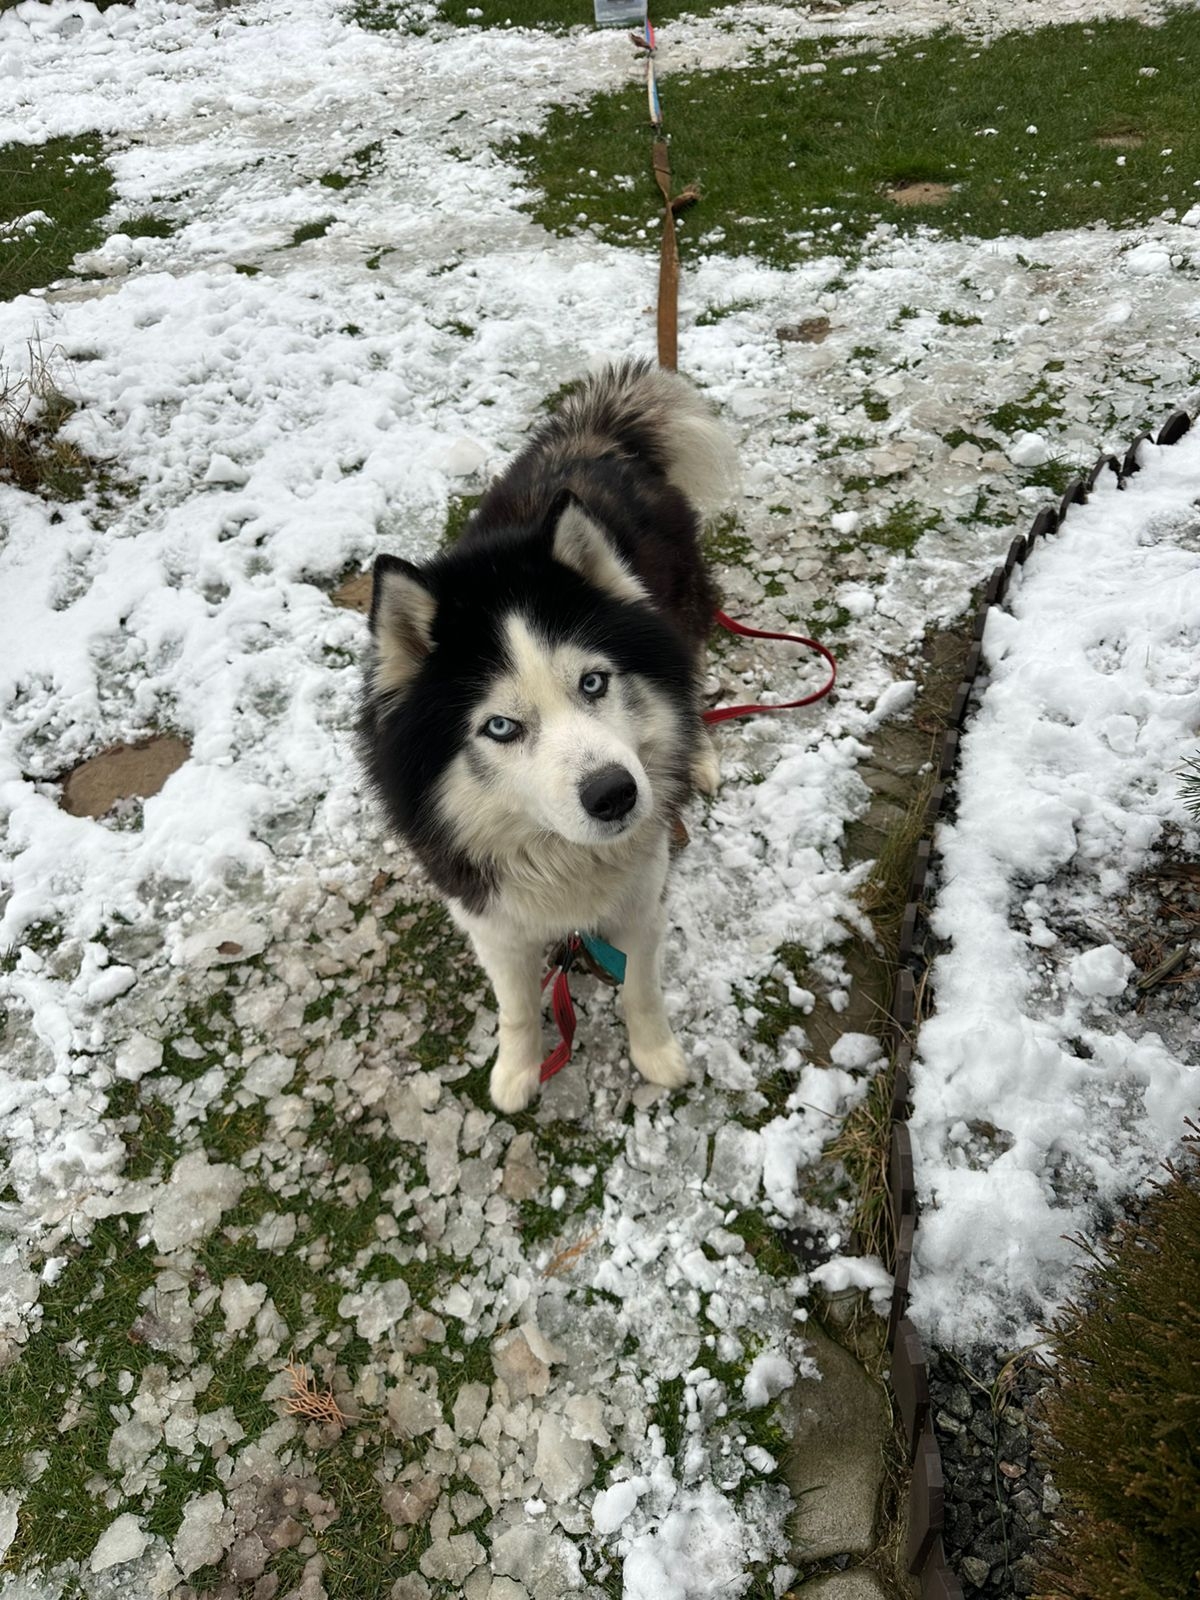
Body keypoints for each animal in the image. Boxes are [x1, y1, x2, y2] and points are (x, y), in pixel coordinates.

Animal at [358, 360, 736, 1112]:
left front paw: (654, 1053)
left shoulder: (643, 896)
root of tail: (595, 435)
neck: (560, 858)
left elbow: (641, 989)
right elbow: (515, 1007)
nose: (616, 795)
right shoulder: (491, 920)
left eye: (593, 683)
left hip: (680, 612)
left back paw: (700, 753)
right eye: (500, 727)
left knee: (693, 674)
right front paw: (517, 1071)